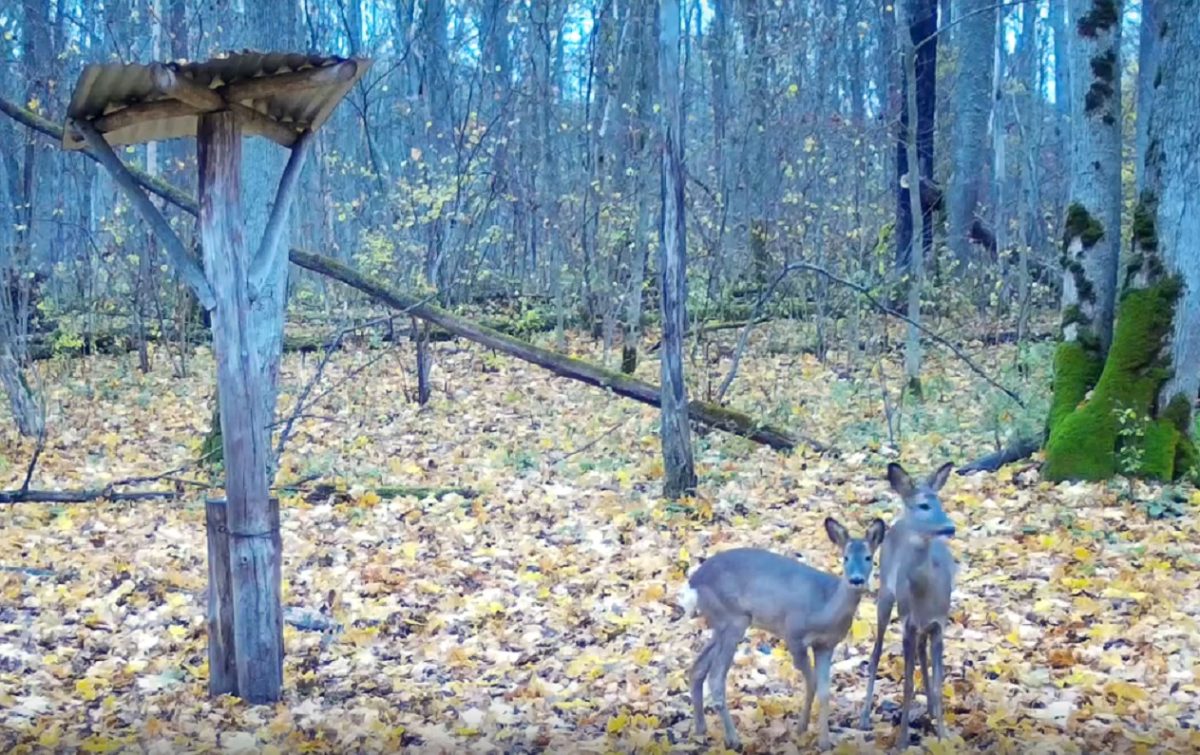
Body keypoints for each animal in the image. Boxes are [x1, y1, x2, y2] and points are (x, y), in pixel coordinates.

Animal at [681, 518, 888, 748]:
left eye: (869, 557)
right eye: (846, 557)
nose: (856, 579)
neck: (825, 607)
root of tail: (693, 584)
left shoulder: (826, 645)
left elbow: (825, 690)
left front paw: (823, 742)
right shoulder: (794, 635)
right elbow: (812, 681)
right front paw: (802, 728)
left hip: (721, 624)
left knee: (697, 668)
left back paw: (701, 731)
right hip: (733, 619)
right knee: (716, 677)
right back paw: (733, 740)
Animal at [859, 458, 960, 744]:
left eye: (940, 502)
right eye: (923, 505)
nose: (949, 527)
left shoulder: (939, 624)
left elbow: (938, 682)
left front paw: (943, 736)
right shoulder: (907, 623)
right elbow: (906, 683)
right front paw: (902, 740)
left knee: (921, 651)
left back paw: (930, 710)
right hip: (885, 594)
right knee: (876, 651)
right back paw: (864, 717)